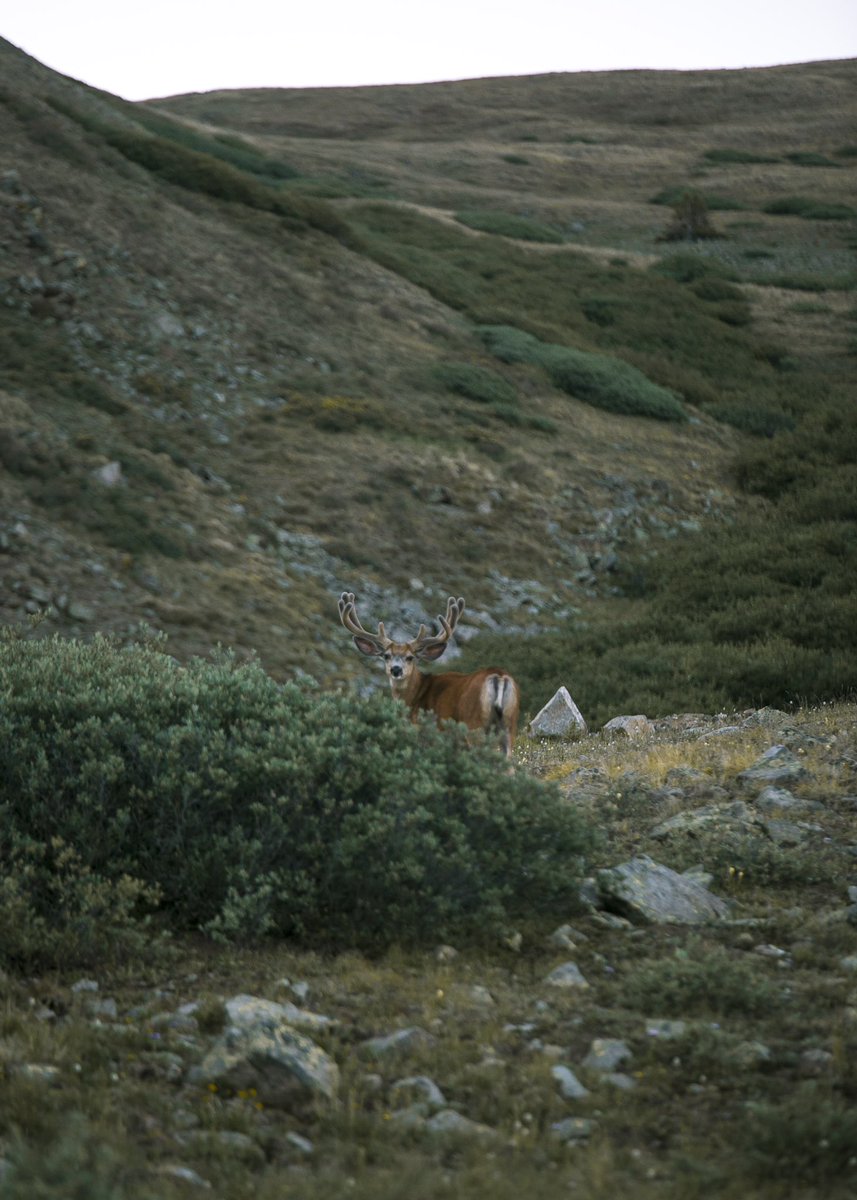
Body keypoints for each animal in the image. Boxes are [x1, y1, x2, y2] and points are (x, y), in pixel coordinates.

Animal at [338, 591, 520, 757]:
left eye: (410, 657)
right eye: (386, 655)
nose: (396, 669)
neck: (414, 697)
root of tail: (499, 676)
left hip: (474, 724)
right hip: (509, 724)